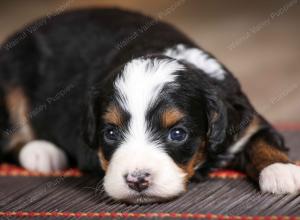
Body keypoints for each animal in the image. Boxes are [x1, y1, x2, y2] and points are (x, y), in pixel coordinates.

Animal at [0, 9, 300, 205]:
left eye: (177, 134)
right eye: (110, 133)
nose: (137, 180)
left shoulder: (246, 120)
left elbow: (262, 140)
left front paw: (281, 171)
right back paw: (42, 152)